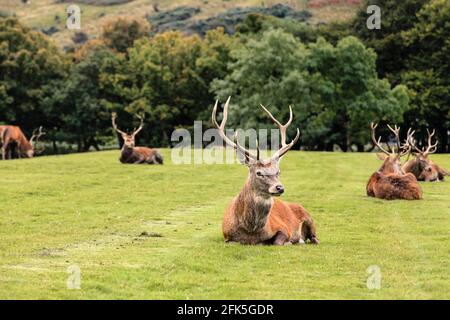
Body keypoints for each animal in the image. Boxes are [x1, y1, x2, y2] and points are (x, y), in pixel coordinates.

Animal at [213, 97, 318, 245]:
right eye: (259, 172)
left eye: (278, 171)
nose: (280, 187)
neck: (251, 232)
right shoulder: (227, 236)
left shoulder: (283, 228)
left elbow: (278, 241)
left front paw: (290, 241)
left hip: (309, 218)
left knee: (314, 238)